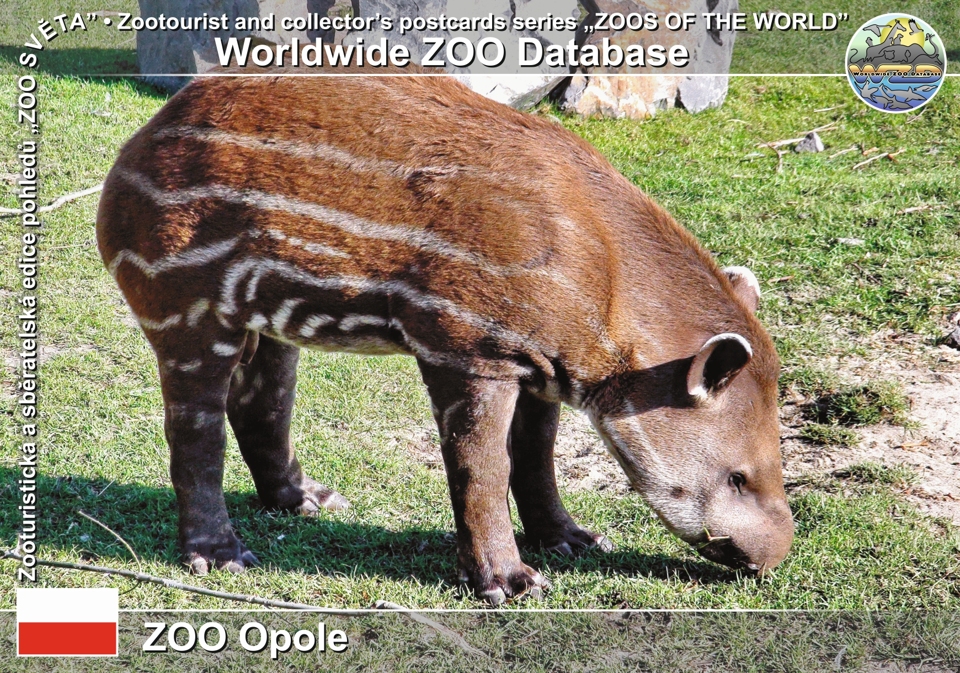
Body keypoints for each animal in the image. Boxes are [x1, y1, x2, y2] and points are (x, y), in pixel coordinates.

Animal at [96, 73, 793, 605]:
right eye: (737, 477)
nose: (774, 558)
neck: (606, 282)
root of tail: (135, 145)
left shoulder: (540, 362)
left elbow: (536, 457)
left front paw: (570, 539)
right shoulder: (469, 348)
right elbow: (481, 466)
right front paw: (509, 581)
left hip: (269, 313)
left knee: (264, 398)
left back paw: (306, 500)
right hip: (185, 298)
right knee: (195, 424)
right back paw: (218, 554)